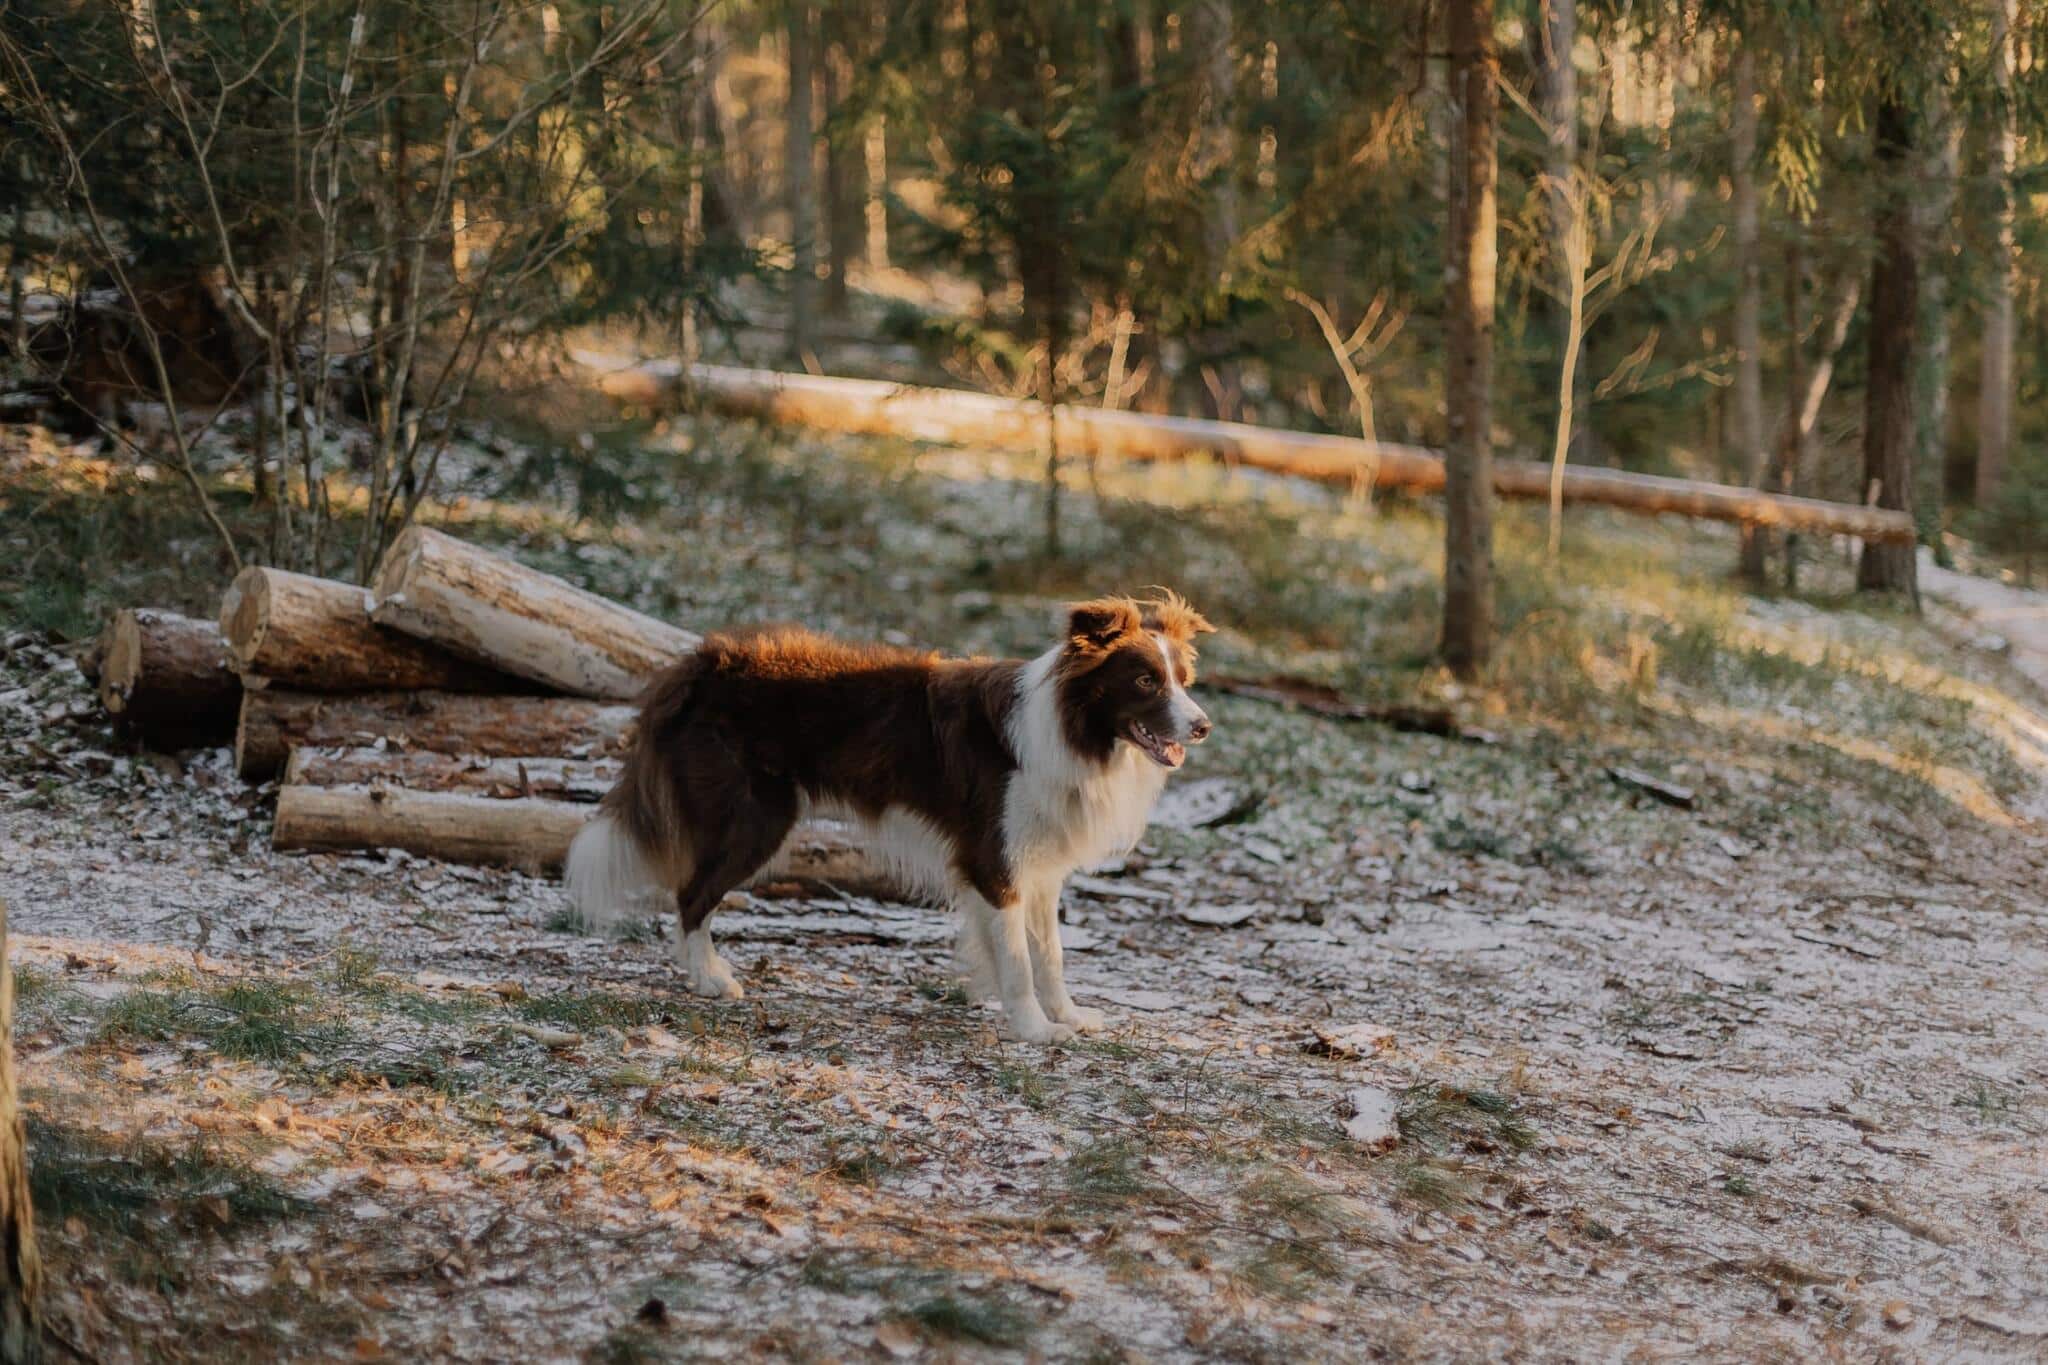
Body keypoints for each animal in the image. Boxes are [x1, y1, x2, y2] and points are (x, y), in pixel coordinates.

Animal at [569, 593, 1212, 1039]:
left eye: (1184, 680)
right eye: (1145, 680)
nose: (1204, 726)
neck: (1072, 728)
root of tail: (700, 663)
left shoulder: (1038, 865)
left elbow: (1049, 956)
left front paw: (1069, 1017)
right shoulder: (994, 862)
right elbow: (1018, 961)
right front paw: (1033, 1031)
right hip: (756, 820)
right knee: (691, 895)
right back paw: (709, 978)